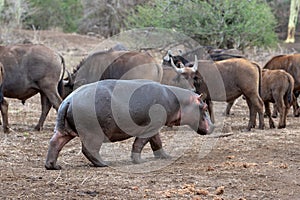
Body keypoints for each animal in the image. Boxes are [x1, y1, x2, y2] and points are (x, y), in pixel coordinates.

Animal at [44, 79, 214, 170]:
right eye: (204, 107)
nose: (213, 126)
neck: (181, 102)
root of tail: (68, 100)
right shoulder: (150, 127)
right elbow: (140, 143)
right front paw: (139, 161)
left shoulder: (155, 127)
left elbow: (157, 142)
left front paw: (166, 156)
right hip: (94, 133)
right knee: (89, 150)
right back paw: (104, 164)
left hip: (63, 130)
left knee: (54, 143)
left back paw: (53, 166)